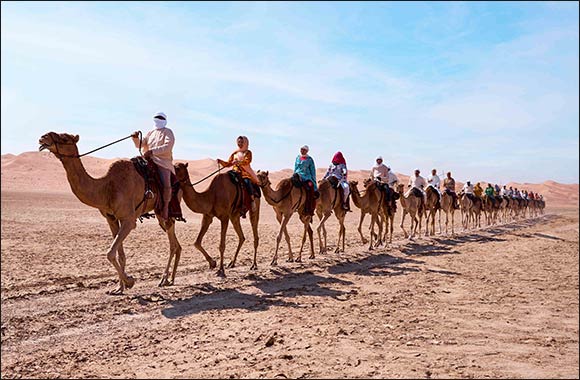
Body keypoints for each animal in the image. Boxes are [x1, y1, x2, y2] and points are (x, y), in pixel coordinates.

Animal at [38, 132, 181, 296]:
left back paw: (164, 279)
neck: (107, 187)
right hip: (159, 214)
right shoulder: (111, 219)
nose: (43, 138)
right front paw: (119, 288)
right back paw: (171, 279)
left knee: (172, 243)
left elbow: (110, 253)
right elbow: (119, 254)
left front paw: (130, 281)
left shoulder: (128, 220)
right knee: (176, 243)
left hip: (165, 209)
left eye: (65, 138)